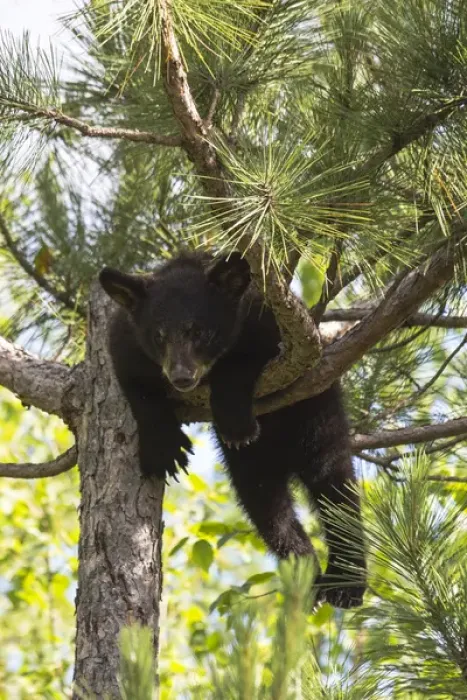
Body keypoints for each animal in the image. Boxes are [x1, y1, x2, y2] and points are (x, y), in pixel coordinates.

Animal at [99, 252, 366, 608]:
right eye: (159, 335)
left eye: (200, 332)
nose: (181, 376)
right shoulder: (127, 342)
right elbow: (137, 387)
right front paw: (164, 448)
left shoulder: (269, 323)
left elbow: (243, 363)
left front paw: (235, 422)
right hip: (251, 468)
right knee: (267, 506)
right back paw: (306, 571)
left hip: (317, 413)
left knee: (334, 486)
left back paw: (346, 584)